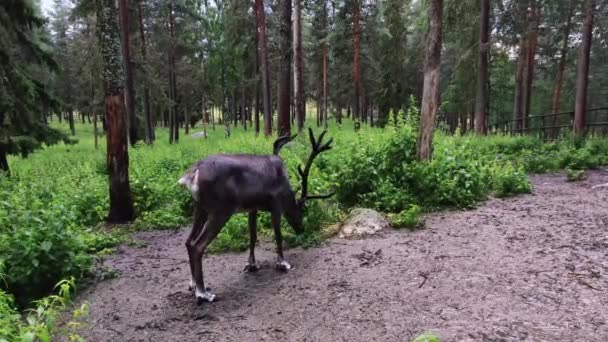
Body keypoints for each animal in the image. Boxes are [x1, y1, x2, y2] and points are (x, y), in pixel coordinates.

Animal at [178, 127, 334, 302]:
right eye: (301, 210)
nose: (301, 229)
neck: (287, 191)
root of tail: (193, 174)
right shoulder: (276, 204)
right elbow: (278, 235)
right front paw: (282, 263)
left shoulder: (252, 208)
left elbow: (252, 236)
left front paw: (252, 264)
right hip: (220, 211)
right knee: (197, 246)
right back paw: (203, 293)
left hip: (199, 208)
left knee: (188, 241)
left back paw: (192, 285)